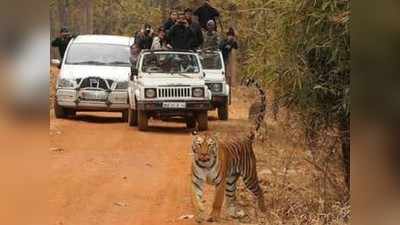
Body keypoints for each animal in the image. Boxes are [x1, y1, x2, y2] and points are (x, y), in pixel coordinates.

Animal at [190, 78, 266, 221]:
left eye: (210, 145)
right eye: (198, 144)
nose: (203, 155)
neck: (205, 165)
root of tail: (247, 138)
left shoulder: (220, 182)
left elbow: (217, 201)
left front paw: (213, 217)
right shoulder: (196, 181)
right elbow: (195, 199)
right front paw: (199, 213)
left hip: (249, 176)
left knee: (259, 190)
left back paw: (263, 211)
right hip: (231, 179)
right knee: (232, 197)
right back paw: (235, 214)